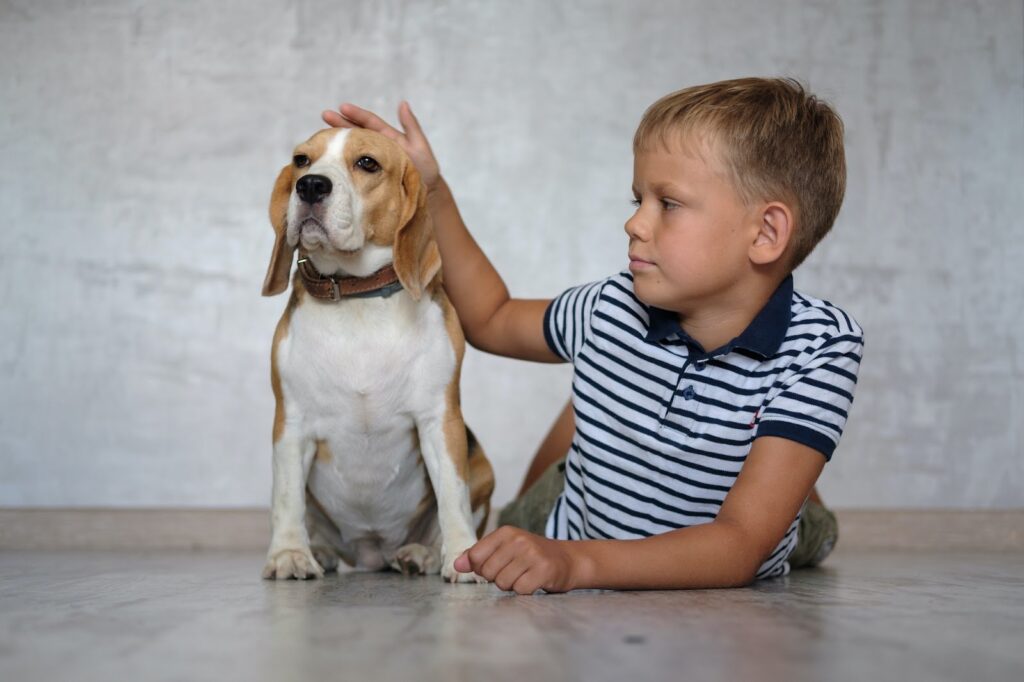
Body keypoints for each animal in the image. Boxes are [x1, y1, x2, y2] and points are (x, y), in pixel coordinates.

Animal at [260, 125, 491, 577]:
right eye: (301, 160)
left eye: (367, 163)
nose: (310, 185)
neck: (357, 299)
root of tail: (373, 553)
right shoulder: (291, 423)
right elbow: (287, 498)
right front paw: (290, 554)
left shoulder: (439, 420)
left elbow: (452, 496)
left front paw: (462, 556)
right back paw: (323, 553)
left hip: (482, 469)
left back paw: (421, 554)